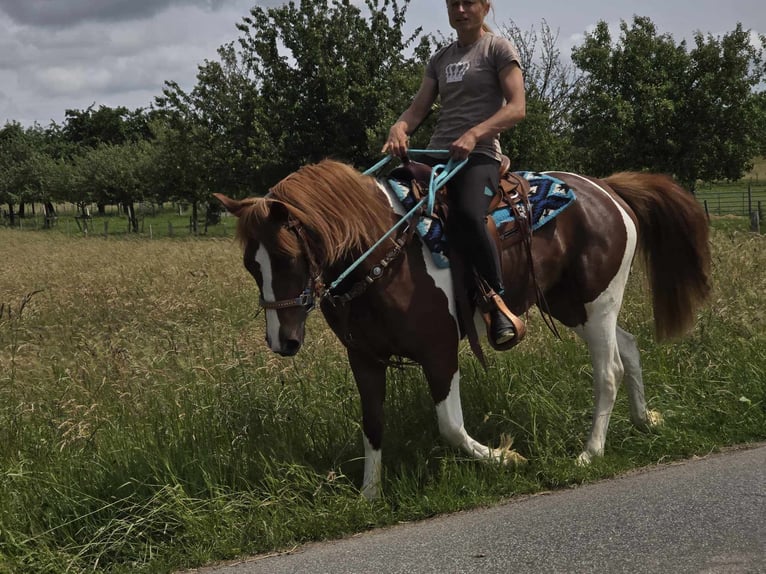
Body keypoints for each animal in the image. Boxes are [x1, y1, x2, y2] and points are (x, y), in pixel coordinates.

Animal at [214, 158, 711, 500]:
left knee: (609, 372)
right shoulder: (366, 360)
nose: (282, 341)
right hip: (576, 308)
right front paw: (369, 495)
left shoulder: (439, 353)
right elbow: (372, 424)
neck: (382, 254)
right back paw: (644, 420)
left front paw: (506, 457)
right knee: (628, 348)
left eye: (286, 257)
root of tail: (606, 189)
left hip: (598, 302)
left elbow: (450, 427)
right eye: (250, 265)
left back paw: (591, 452)